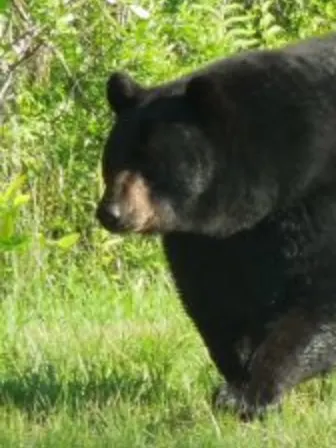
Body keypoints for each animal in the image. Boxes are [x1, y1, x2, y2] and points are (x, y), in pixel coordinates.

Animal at [95, 34, 336, 420]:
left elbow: (319, 297)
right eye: (114, 159)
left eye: (151, 164)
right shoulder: (206, 240)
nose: (111, 213)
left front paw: (250, 393)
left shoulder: (317, 201)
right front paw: (237, 377)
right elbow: (215, 301)